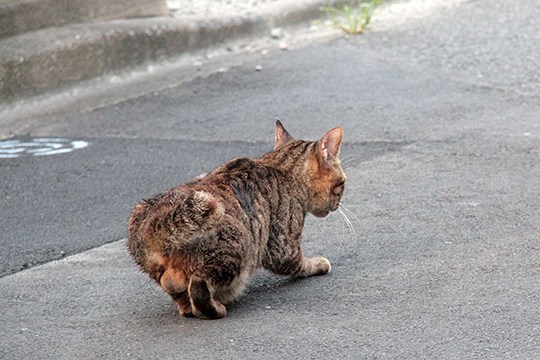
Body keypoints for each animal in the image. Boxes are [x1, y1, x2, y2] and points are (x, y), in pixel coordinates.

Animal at [126, 120, 346, 318]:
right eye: (343, 184)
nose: (338, 204)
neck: (279, 166)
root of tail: (153, 223)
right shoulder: (283, 249)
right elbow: (301, 264)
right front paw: (318, 264)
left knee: (175, 288)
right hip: (236, 248)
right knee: (198, 285)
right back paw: (216, 308)